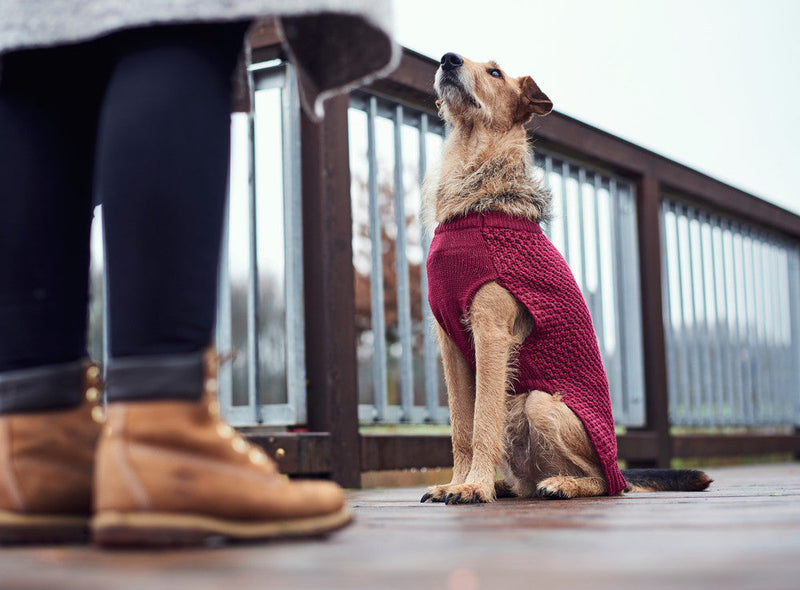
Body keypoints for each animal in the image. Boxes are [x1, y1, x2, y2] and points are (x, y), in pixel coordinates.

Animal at [422, 53, 708, 504]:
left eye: (495, 72)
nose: (448, 60)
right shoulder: (451, 343)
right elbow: (461, 428)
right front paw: (458, 482)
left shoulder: (490, 333)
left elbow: (481, 423)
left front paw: (474, 487)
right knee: (527, 480)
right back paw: (507, 485)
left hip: (539, 401)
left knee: (606, 482)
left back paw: (563, 484)